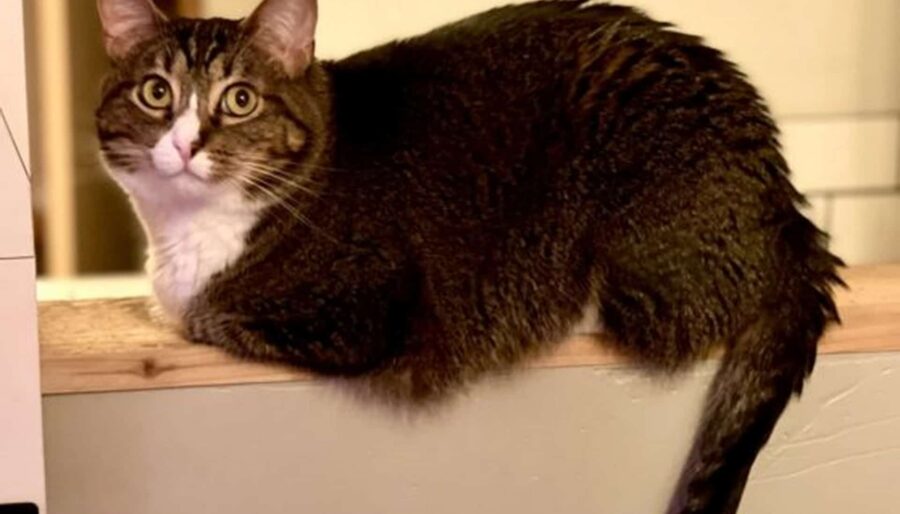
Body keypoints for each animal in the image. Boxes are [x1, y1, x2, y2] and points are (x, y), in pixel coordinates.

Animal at [95, 1, 840, 512]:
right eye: (156, 92)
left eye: (240, 100)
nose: (184, 145)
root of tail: (785, 209)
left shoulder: (359, 316)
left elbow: (204, 316)